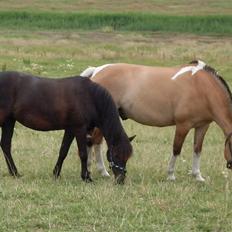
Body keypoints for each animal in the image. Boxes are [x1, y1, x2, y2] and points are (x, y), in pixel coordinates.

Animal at [0, 70, 132, 183]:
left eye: (127, 157)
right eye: (116, 155)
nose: (120, 180)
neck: (89, 97)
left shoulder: (70, 130)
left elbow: (63, 151)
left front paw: (56, 174)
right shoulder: (79, 129)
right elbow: (83, 154)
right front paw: (86, 178)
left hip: (9, 121)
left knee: (5, 145)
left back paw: (15, 173)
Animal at [81, 59, 232, 181]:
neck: (202, 87)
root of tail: (96, 70)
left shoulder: (203, 126)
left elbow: (197, 149)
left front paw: (198, 176)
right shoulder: (183, 125)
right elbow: (176, 149)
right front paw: (171, 175)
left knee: (96, 141)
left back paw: (101, 172)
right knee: (93, 141)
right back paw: (95, 171)